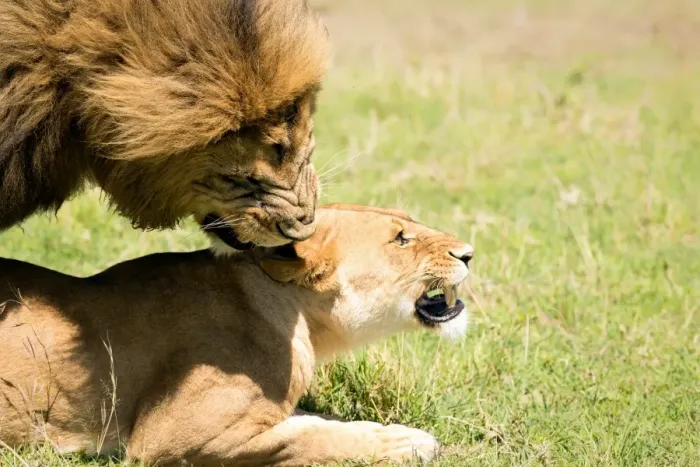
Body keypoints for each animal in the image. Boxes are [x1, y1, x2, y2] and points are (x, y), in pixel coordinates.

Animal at [0, 204, 474, 466]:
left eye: (409, 224)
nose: (468, 253)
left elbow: (319, 420)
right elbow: (309, 438)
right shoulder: (169, 438)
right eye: (401, 239)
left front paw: (396, 434)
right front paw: (403, 443)